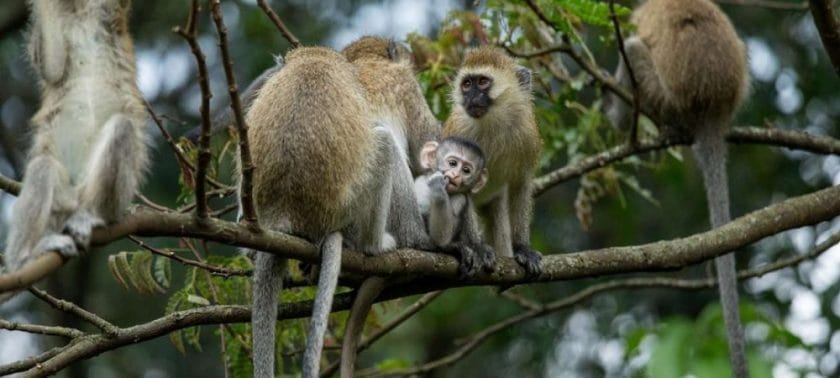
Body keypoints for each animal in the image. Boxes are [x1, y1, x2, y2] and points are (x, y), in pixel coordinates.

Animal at [440, 47, 544, 276]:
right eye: (467, 84)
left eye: (482, 82)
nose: (470, 96)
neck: (494, 122)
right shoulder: (460, 131)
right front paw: (477, 247)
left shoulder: (528, 135)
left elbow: (521, 184)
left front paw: (522, 247)